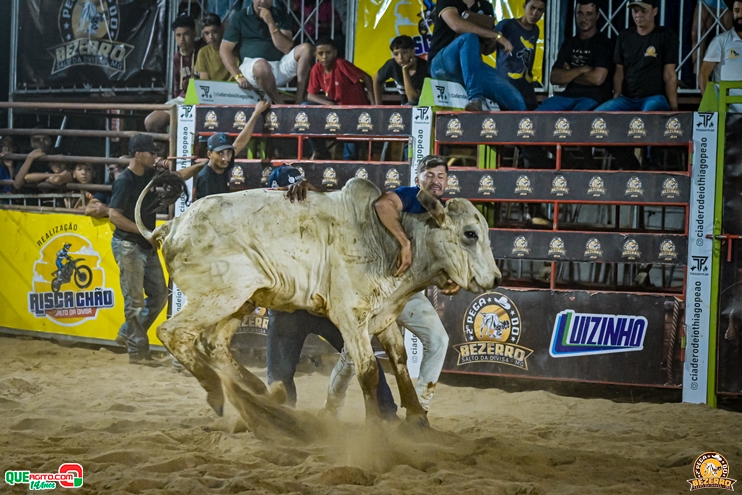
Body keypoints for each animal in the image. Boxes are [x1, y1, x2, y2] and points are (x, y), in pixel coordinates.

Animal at [137, 178, 502, 434]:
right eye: (470, 234)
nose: (497, 278)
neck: (389, 239)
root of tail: (171, 226)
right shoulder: (351, 317)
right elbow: (369, 372)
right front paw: (376, 428)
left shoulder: (383, 316)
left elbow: (399, 363)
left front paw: (416, 418)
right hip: (221, 296)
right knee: (174, 333)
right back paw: (217, 391)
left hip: (241, 300)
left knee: (214, 343)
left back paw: (261, 392)